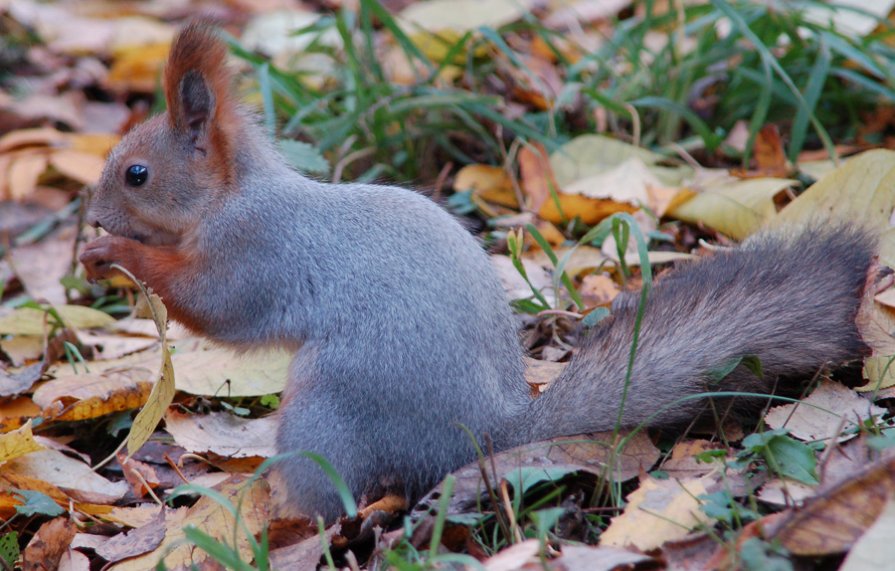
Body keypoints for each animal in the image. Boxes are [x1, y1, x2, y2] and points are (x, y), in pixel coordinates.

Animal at [79, 25, 876, 524]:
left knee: (339, 496)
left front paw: (117, 257)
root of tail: (484, 435)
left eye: (138, 174)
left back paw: (279, 514)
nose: (90, 212)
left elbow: (215, 304)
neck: (235, 193)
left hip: (332, 403)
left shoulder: (256, 247)